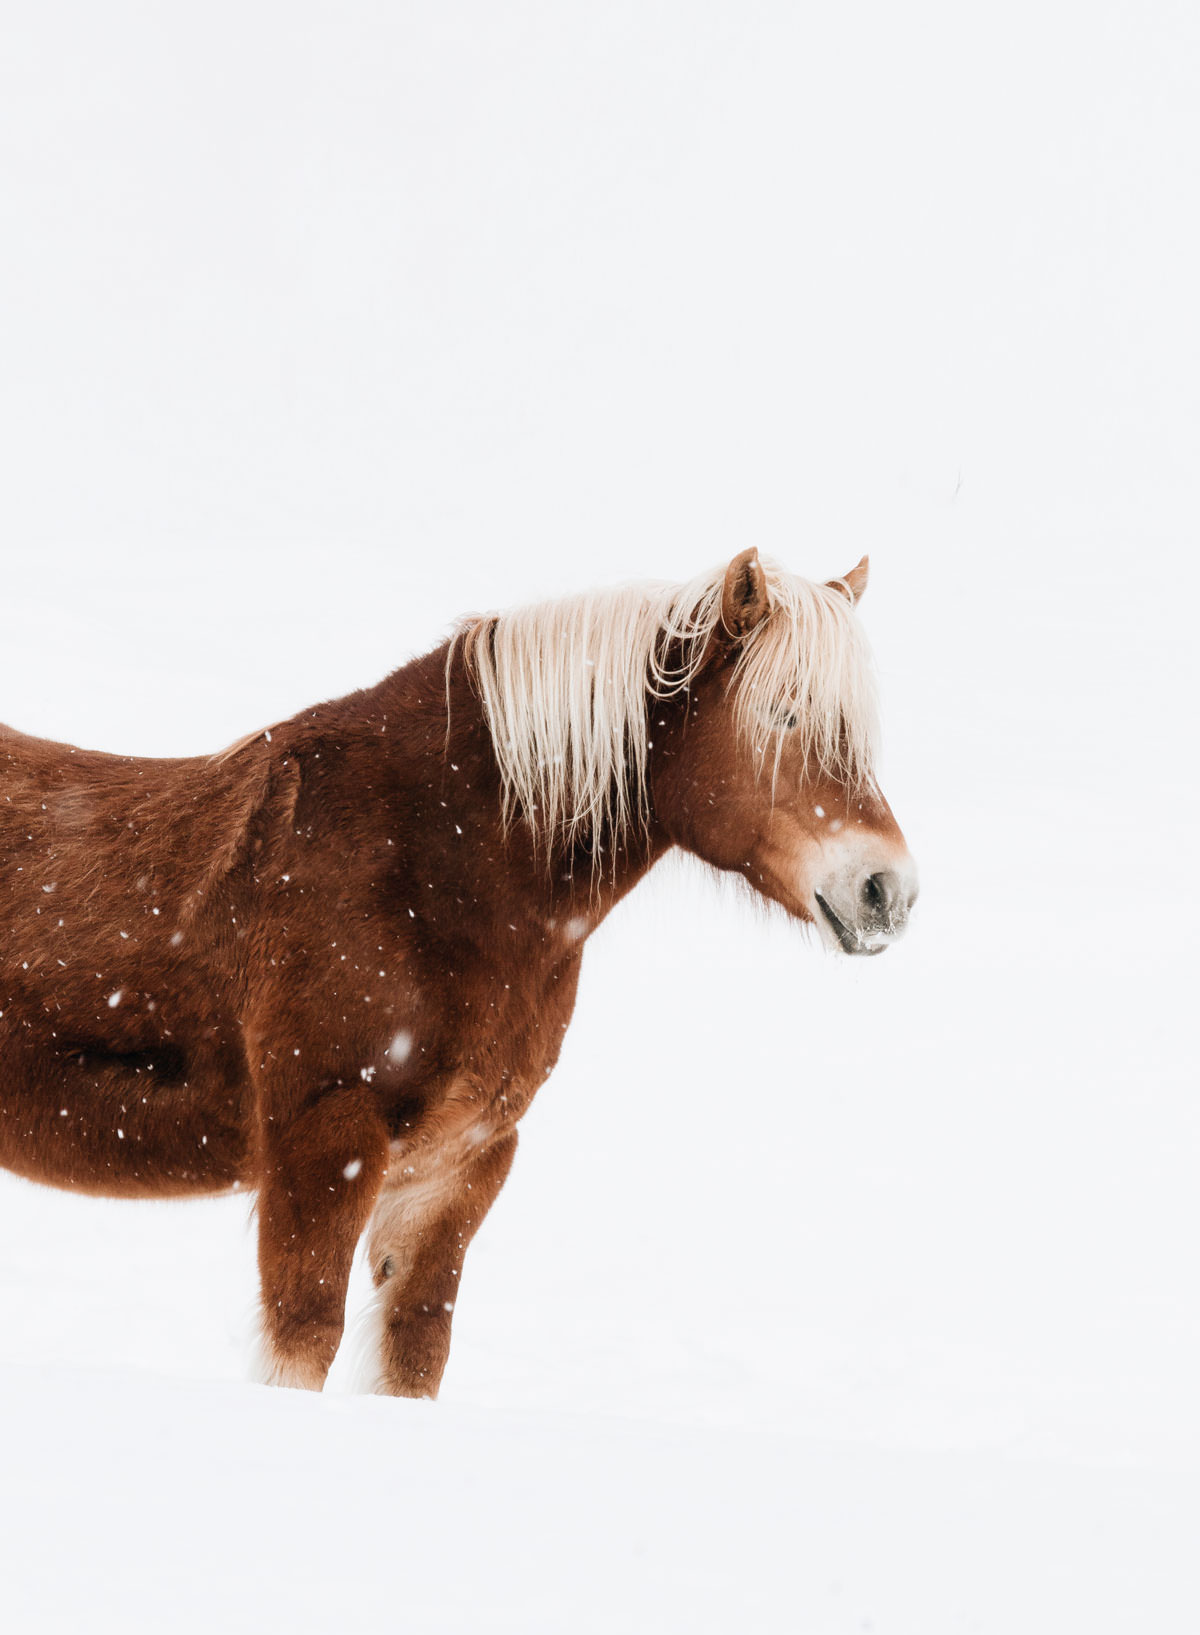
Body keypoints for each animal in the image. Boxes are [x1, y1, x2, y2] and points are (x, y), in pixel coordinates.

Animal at [0, 549, 922, 1393]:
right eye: (783, 713)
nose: (889, 891)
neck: (429, 870)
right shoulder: (325, 1141)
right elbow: (304, 1340)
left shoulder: (460, 1163)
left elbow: (417, 1347)